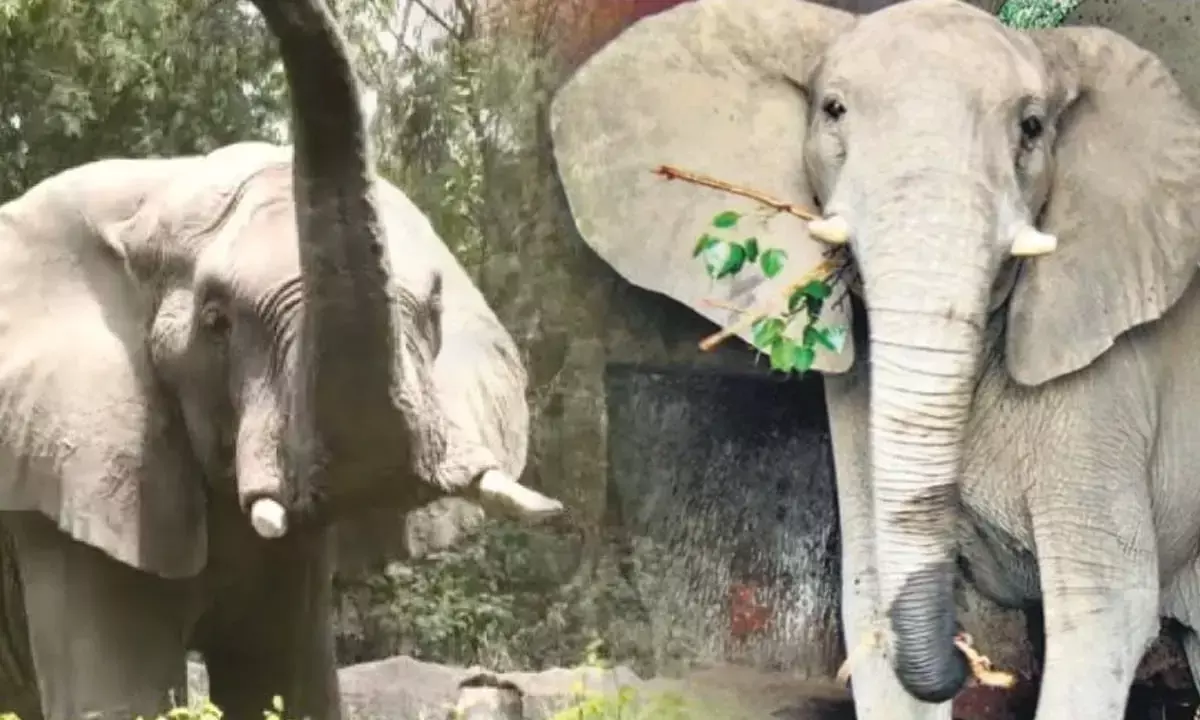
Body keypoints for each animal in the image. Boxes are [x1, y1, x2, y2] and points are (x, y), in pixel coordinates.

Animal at [0, 0, 563, 718]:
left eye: (435, 312)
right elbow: (122, 695)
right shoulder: (71, 481)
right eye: (216, 322)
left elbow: (287, 682)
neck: (162, 186)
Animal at [548, 0, 1200, 718]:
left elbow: (1103, 612)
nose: (969, 663)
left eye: (1032, 127)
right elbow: (868, 594)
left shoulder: (1105, 384)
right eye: (833, 110)